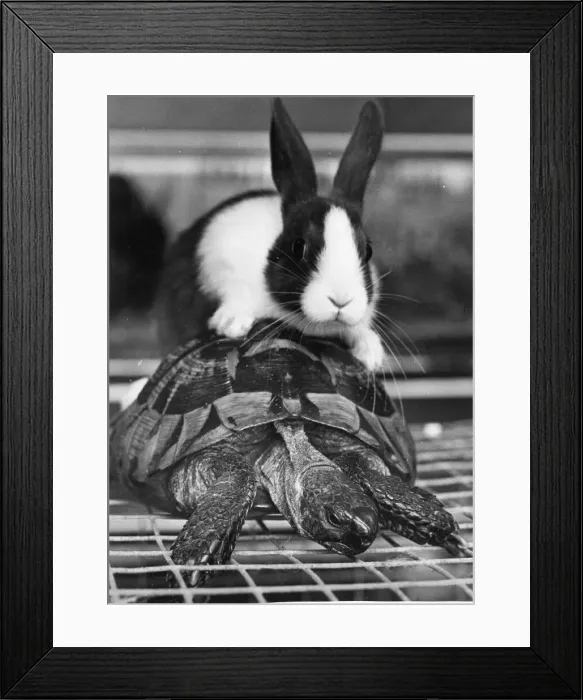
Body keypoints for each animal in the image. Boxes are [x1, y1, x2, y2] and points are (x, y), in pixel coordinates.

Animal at [157, 98, 385, 372]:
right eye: (299, 246)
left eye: (368, 250)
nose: (341, 300)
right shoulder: (220, 259)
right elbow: (233, 292)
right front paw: (232, 323)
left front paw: (371, 353)